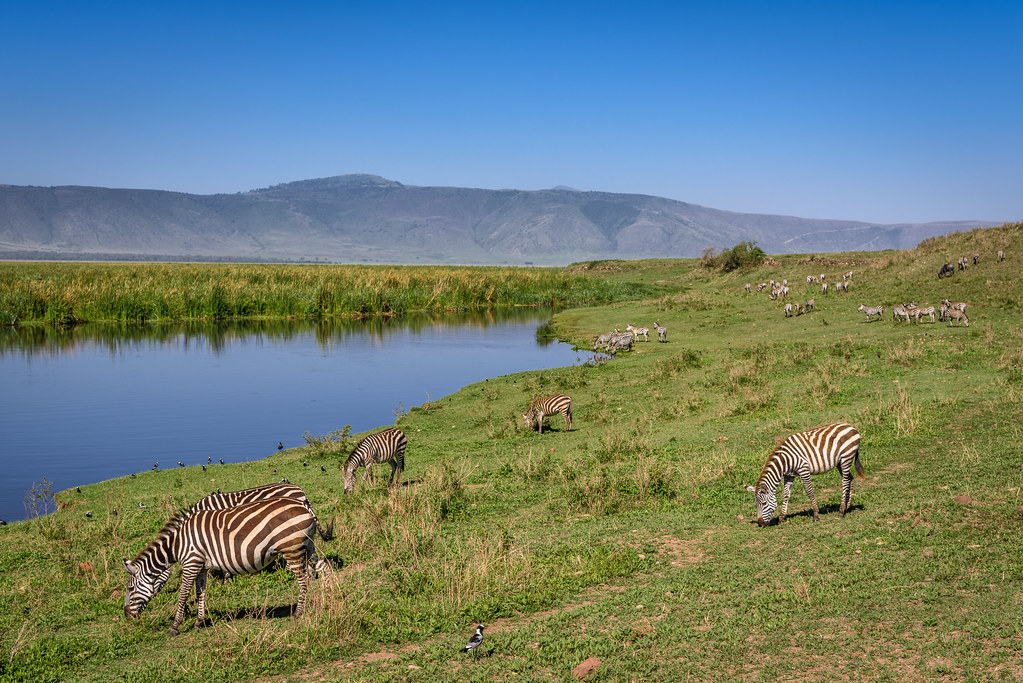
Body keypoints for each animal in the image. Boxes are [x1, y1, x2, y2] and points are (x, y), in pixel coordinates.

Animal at [122, 496, 319, 633]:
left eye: (130, 589)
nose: (127, 615)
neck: (178, 544)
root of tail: (304, 505)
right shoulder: (201, 567)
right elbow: (200, 594)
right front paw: (199, 622)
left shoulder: (191, 563)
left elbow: (183, 595)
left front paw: (175, 626)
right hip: (307, 548)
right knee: (311, 575)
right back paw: (313, 605)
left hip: (291, 549)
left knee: (303, 581)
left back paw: (298, 613)